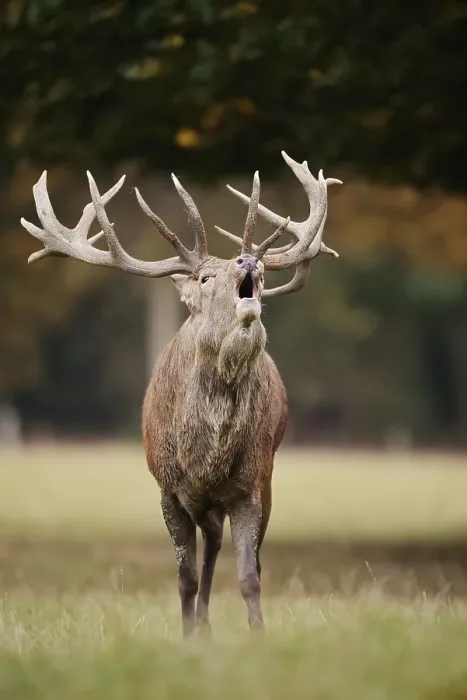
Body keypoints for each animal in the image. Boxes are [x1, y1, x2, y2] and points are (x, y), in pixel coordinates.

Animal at [21, 151, 341, 636]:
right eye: (206, 278)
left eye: (264, 272)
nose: (250, 261)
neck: (204, 454)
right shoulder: (167, 489)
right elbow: (185, 577)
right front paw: (187, 636)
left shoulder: (250, 485)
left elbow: (249, 575)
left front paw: (258, 635)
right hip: (199, 501)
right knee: (209, 548)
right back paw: (202, 625)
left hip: (263, 481)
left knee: (232, 550)